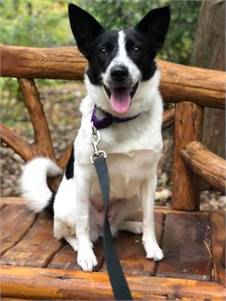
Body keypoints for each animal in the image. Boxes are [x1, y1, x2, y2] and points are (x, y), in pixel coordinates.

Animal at [21, 2, 170, 270]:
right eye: (103, 51)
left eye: (136, 49)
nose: (119, 72)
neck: (120, 120)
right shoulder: (84, 177)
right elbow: (81, 223)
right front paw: (85, 255)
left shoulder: (149, 179)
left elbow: (150, 217)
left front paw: (151, 245)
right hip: (70, 202)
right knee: (67, 233)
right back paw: (82, 245)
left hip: (133, 196)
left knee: (116, 226)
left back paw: (132, 226)